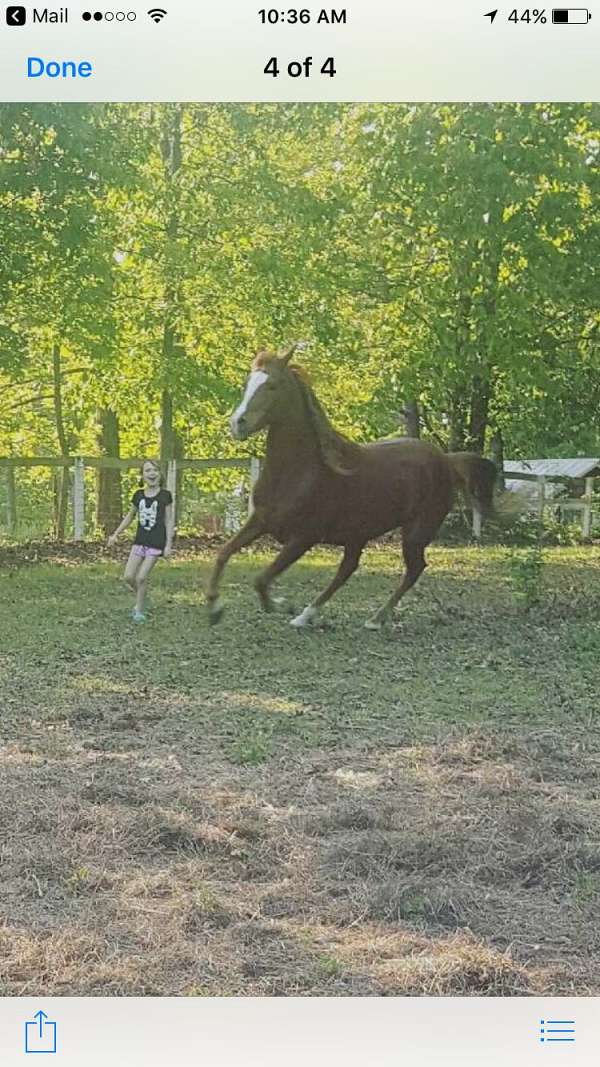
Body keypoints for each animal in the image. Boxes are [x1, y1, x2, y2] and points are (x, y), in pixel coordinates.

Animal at [206, 345, 497, 629]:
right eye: (248, 383)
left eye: (272, 385)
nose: (237, 423)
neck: (300, 471)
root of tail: (446, 461)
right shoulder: (260, 521)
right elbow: (223, 554)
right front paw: (214, 608)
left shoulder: (303, 538)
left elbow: (261, 580)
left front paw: (282, 605)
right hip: (359, 535)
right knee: (348, 569)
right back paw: (308, 615)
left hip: (415, 532)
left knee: (413, 569)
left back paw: (374, 619)